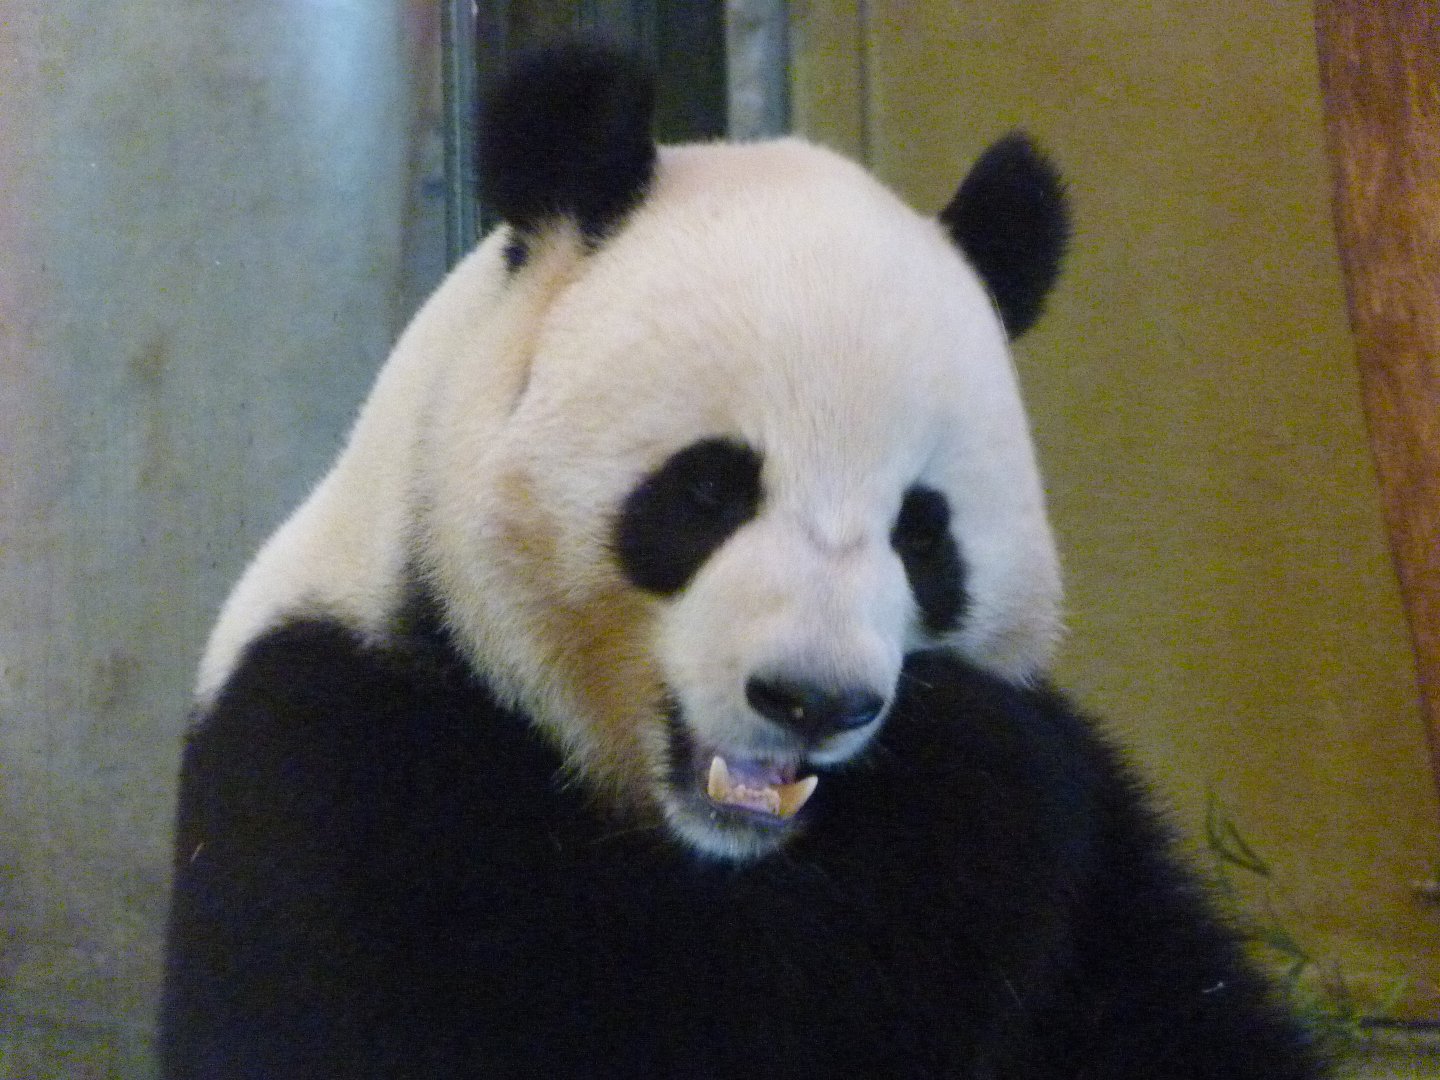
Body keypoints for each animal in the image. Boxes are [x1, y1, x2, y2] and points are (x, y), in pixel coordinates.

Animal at [160, 43, 1327, 1080]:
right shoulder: (338, 761)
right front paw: (970, 764)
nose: (815, 699)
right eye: (710, 489)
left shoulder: (1110, 892)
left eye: (923, 533)